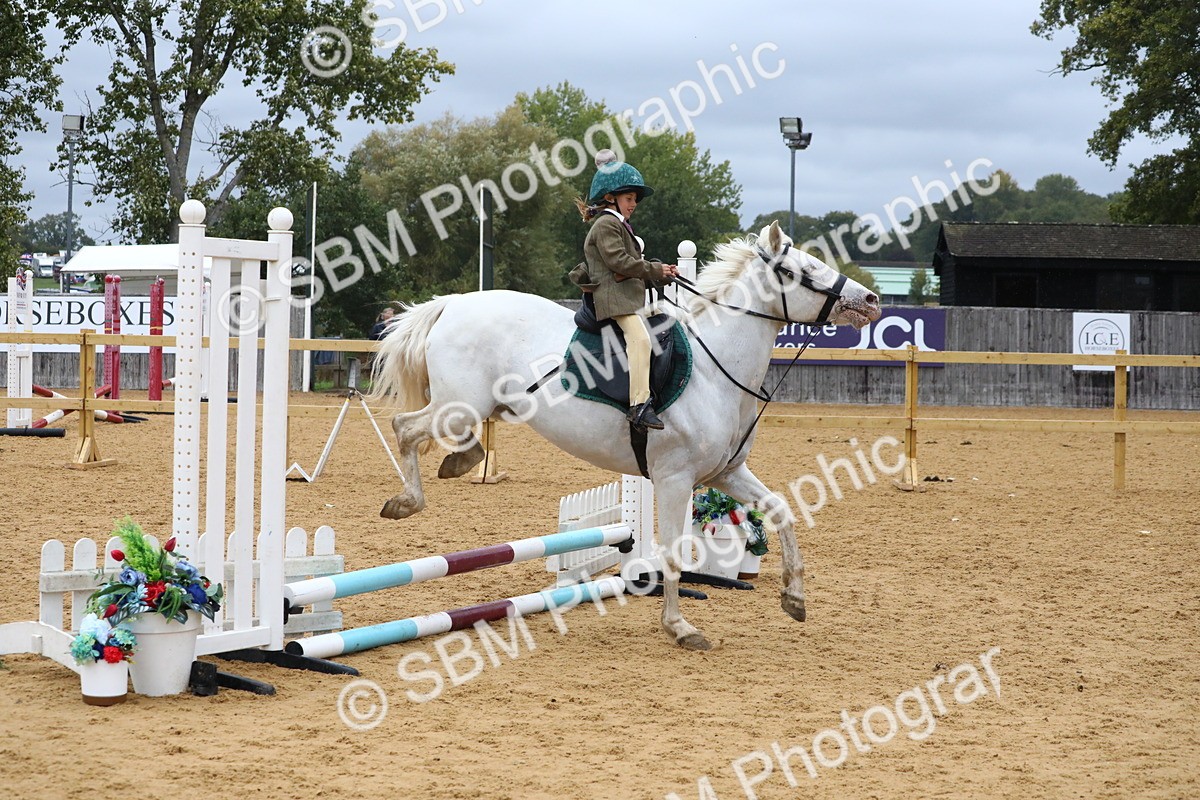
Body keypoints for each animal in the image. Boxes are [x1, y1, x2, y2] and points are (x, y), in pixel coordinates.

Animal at [368, 221, 881, 650]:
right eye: (800, 270)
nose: (872, 301)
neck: (716, 367)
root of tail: (452, 302)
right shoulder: (675, 480)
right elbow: (672, 556)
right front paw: (679, 627)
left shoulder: (726, 473)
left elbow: (782, 512)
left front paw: (794, 598)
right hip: (459, 404)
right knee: (405, 427)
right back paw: (407, 500)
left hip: (472, 405)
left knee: (443, 432)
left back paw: (460, 461)